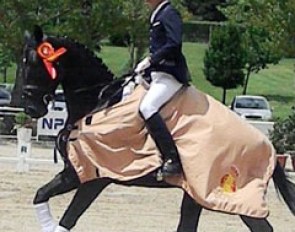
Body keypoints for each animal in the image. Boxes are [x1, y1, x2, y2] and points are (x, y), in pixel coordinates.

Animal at [20, 26, 295, 231]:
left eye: (34, 63)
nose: (31, 107)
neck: (100, 103)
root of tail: (269, 147)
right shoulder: (76, 172)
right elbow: (40, 196)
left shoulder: (91, 177)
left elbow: (64, 216)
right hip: (196, 193)